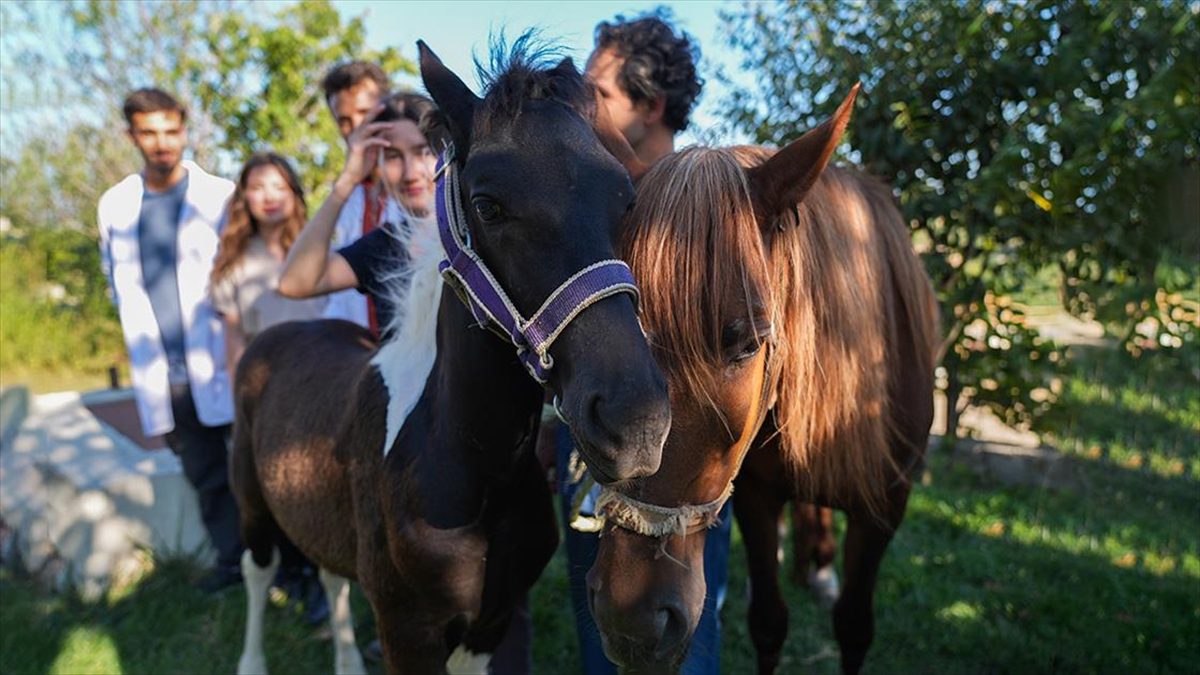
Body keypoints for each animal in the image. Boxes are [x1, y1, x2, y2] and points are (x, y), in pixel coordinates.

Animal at [228, 38, 672, 672]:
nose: (635, 423)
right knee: (258, 571)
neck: (472, 466)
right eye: (487, 206)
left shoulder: (489, 622)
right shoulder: (406, 629)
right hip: (250, 502)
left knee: (330, 574)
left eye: (626, 200)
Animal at [585, 86, 940, 667]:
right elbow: (769, 622)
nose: (630, 620)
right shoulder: (754, 495)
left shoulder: (885, 507)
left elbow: (854, 626)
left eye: (749, 344)